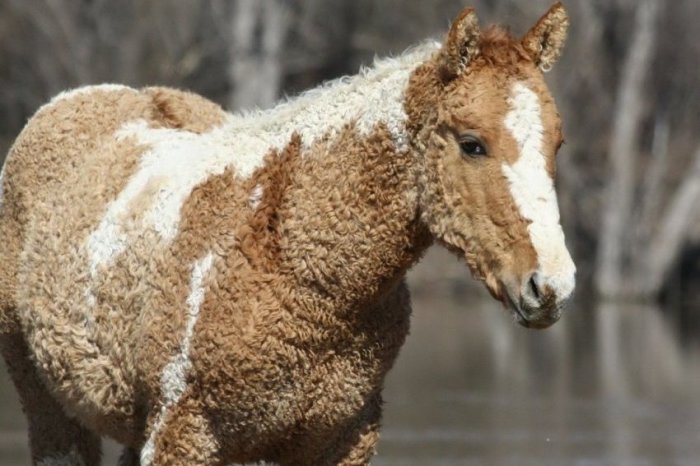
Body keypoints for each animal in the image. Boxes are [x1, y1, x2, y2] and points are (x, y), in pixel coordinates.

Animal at [0, 3, 575, 465]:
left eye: (557, 144)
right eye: (472, 143)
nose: (550, 285)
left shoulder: (341, 441)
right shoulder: (182, 435)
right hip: (49, 406)